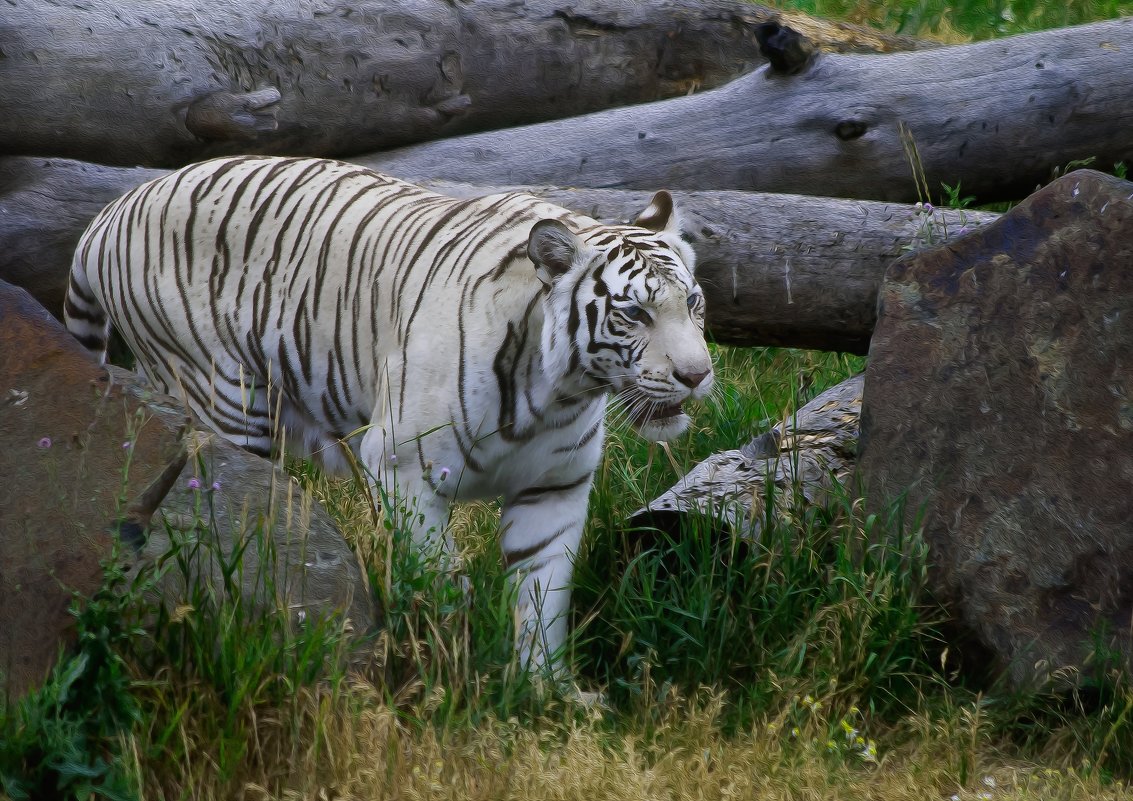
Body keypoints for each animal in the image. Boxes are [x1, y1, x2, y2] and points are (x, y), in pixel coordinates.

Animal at [62, 156, 711, 670]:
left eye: (693, 302)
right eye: (634, 314)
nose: (697, 374)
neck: (558, 391)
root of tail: (110, 210)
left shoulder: (554, 489)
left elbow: (542, 601)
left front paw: (543, 691)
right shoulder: (404, 470)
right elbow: (445, 581)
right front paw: (455, 667)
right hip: (222, 398)